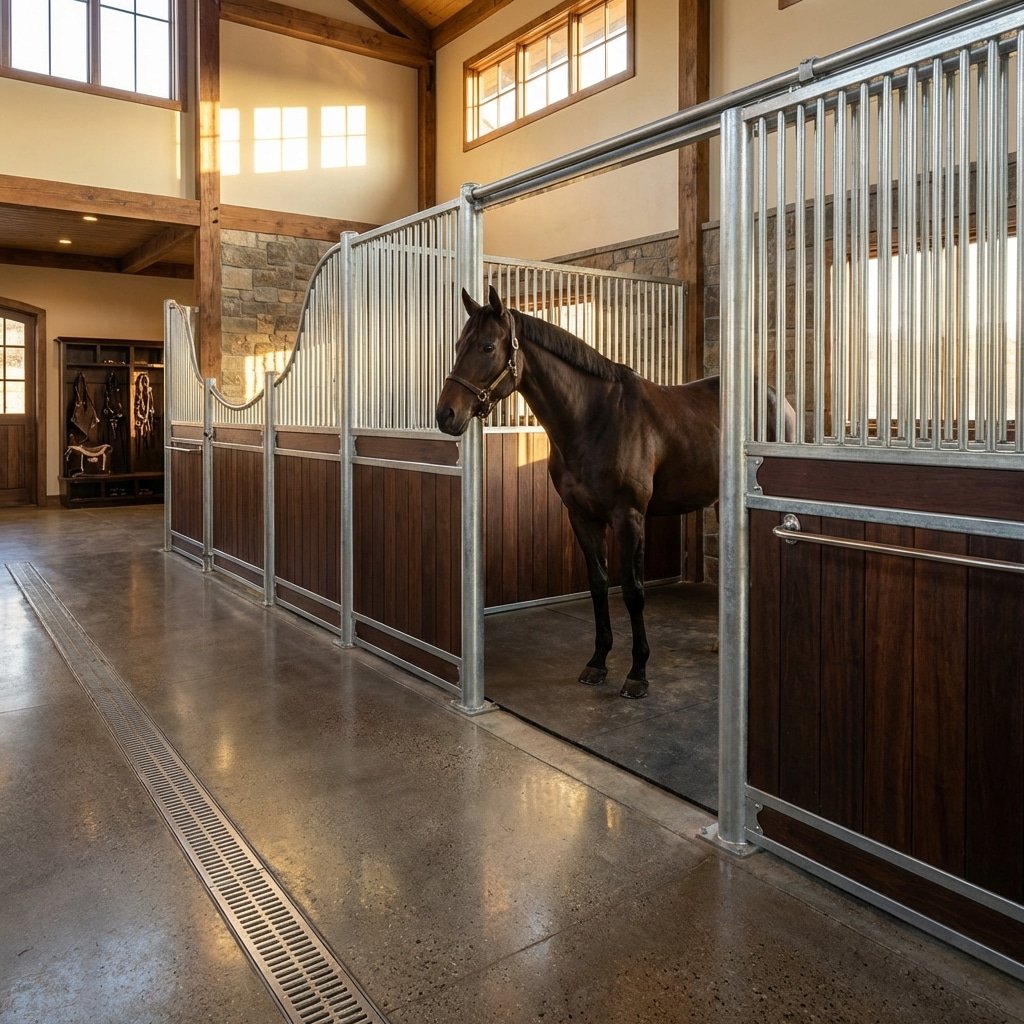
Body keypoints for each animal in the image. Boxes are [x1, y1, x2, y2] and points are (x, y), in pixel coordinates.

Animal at [436, 286, 793, 699]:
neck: (595, 419)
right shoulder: (581, 517)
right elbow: (599, 585)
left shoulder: (629, 518)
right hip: (720, 503)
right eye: (459, 344)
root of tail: (777, 398)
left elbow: (634, 591)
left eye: (488, 346)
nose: (445, 414)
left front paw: (637, 673)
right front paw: (597, 662)